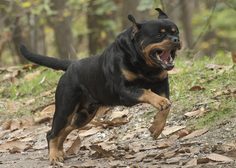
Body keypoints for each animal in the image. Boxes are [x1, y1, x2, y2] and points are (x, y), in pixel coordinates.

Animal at [18, 8, 181, 164]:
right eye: (159, 35)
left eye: (176, 32)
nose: (176, 40)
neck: (144, 64)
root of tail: (71, 66)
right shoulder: (125, 91)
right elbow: (147, 93)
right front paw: (160, 102)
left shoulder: (161, 84)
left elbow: (165, 108)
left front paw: (157, 128)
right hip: (65, 110)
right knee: (51, 133)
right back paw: (54, 156)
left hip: (85, 115)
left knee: (67, 129)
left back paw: (59, 151)